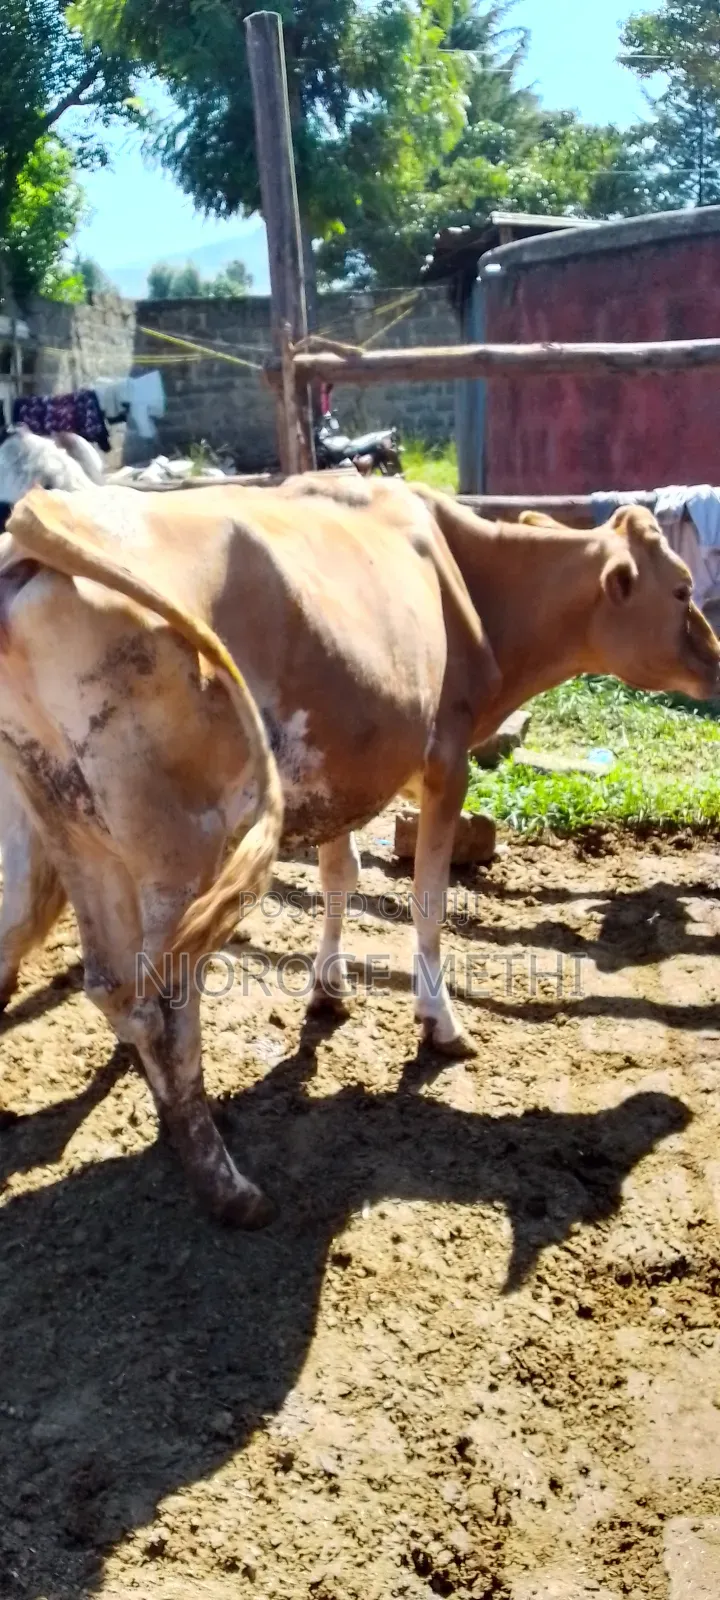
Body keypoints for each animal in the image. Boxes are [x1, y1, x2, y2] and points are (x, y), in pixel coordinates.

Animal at [0, 474, 717, 1224]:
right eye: (683, 589)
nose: (719, 661)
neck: (470, 579)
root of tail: (37, 530)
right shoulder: (446, 755)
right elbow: (428, 897)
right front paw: (439, 1021)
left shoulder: (343, 767)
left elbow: (340, 875)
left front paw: (329, 988)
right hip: (181, 839)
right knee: (163, 1000)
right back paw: (225, 1186)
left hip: (56, 810)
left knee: (85, 968)